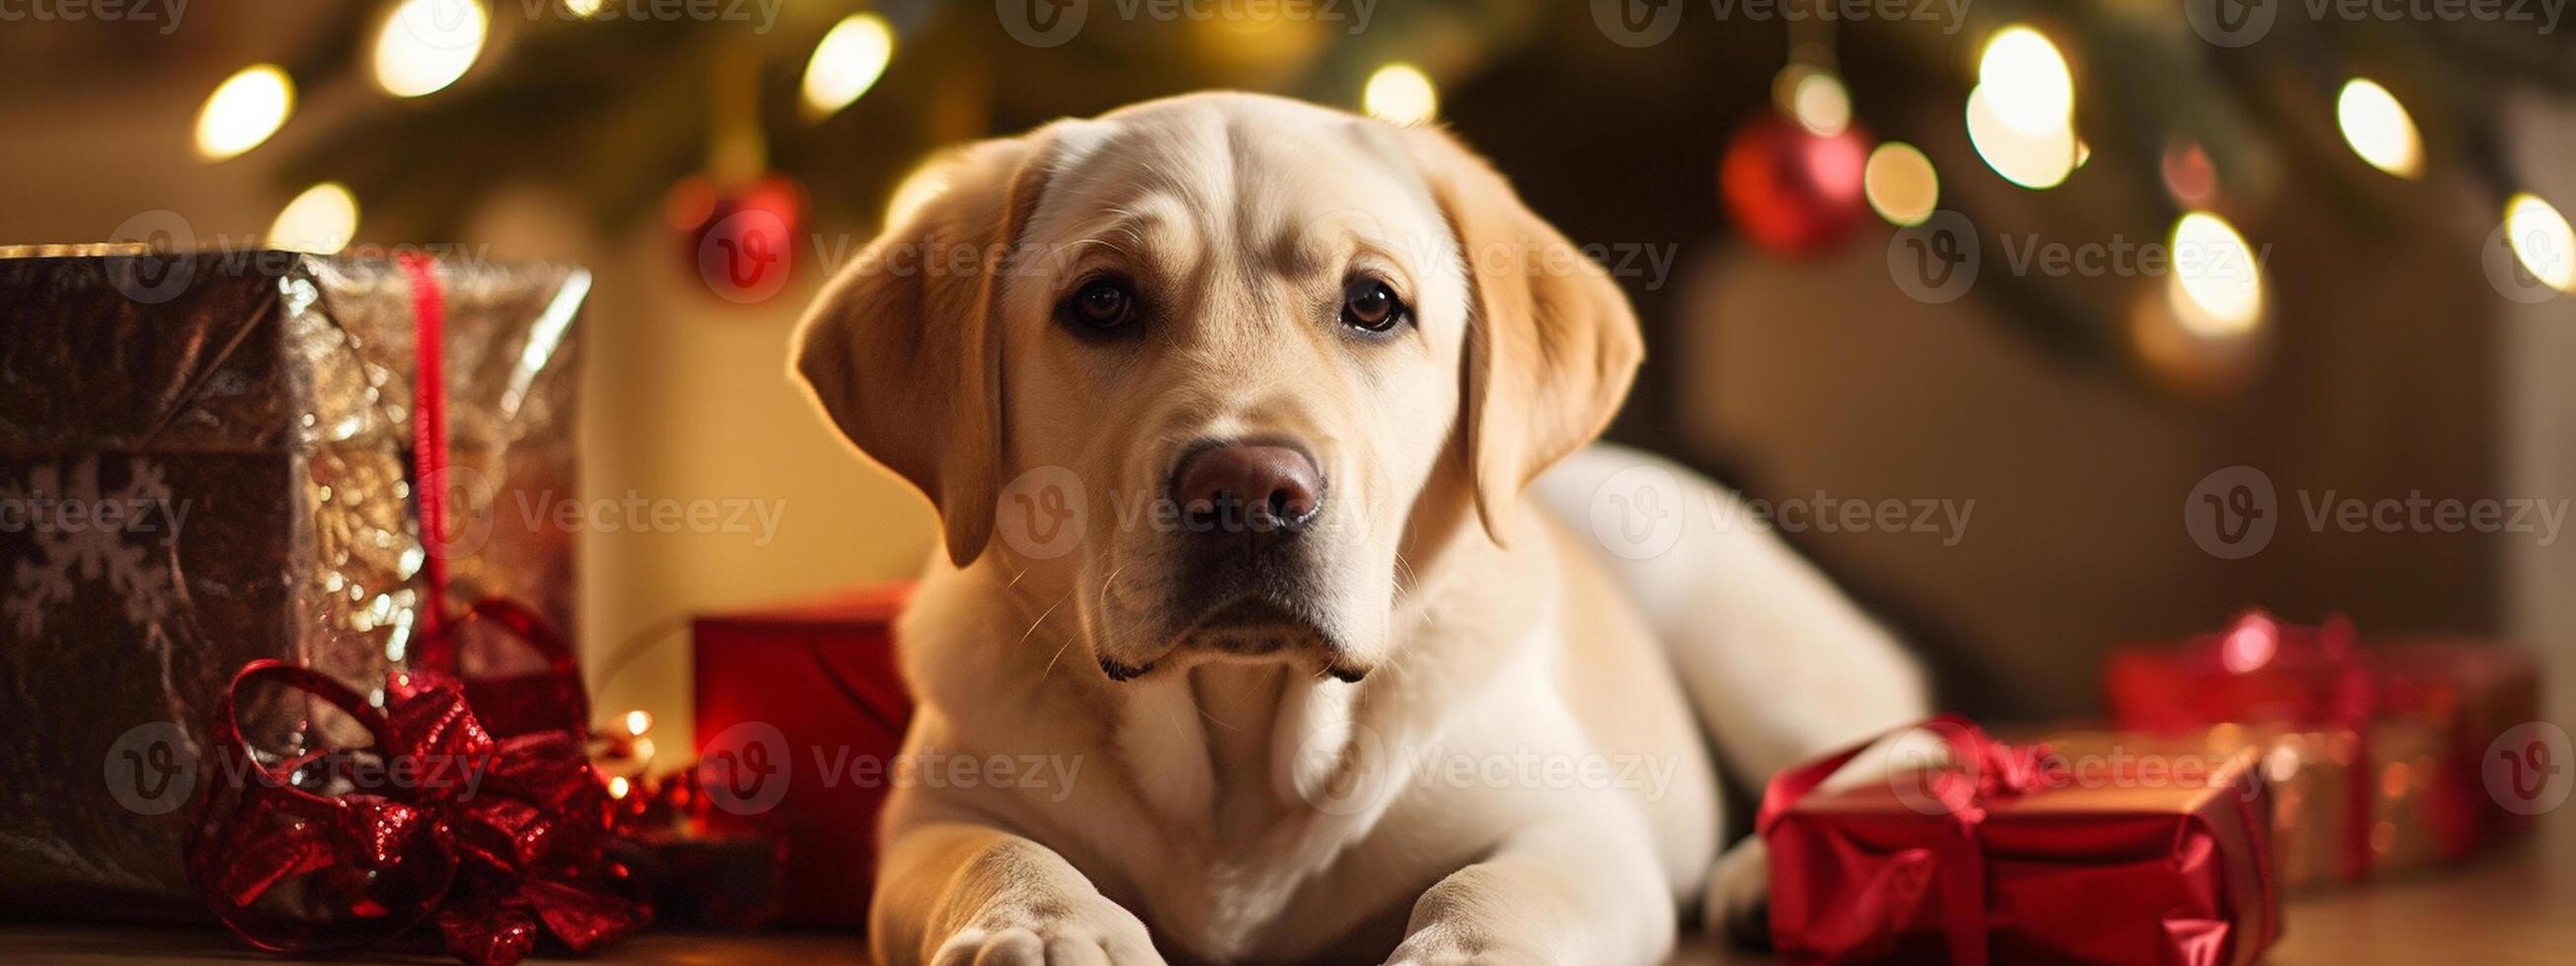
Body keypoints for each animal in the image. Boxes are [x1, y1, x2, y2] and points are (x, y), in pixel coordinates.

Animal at [793, 93, 1926, 966]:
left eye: (1374, 303)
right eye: (1103, 301)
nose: (1248, 488)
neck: (1242, 754)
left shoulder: (1579, 828)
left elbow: (1491, 891)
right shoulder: (936, 816)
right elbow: (999, 855)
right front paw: (1045, 929)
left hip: (1734, 626)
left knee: (1890, 743)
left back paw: (1769, 872)